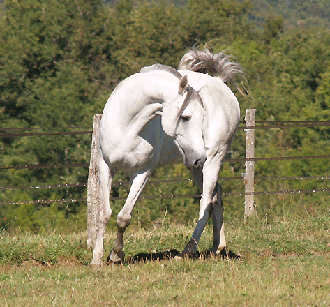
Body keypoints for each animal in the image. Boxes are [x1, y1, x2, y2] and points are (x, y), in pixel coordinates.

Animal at [90, 48, 242, 264]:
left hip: (213, 159)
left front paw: (116, 254)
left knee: (205, 202)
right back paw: (217, 247)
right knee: (216, 195)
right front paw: (97, 259)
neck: (126, 125)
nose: (200, 157)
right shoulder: (105, 166)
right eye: (185, 117)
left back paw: (186, 251)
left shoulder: (143, 172)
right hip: (195, 168)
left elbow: (124, 216)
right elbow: (104, 213)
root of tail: (221, 83)